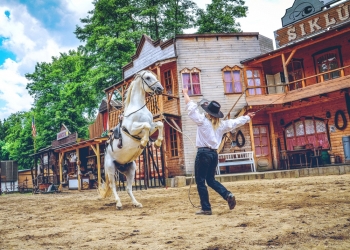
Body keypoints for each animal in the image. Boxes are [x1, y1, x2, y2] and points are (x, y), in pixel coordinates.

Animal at [98, 70, 164, 209]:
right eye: (148, 77)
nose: (160, 89)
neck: (138, 109)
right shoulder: (133, 129)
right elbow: (146, 125)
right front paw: (143, 142)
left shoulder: (152, 127)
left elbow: (159, 124)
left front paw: (157, 143)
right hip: (111, 169)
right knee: (113, 186)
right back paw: (118, 204)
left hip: (131, 169)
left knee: (128, 188)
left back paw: (136, 203)